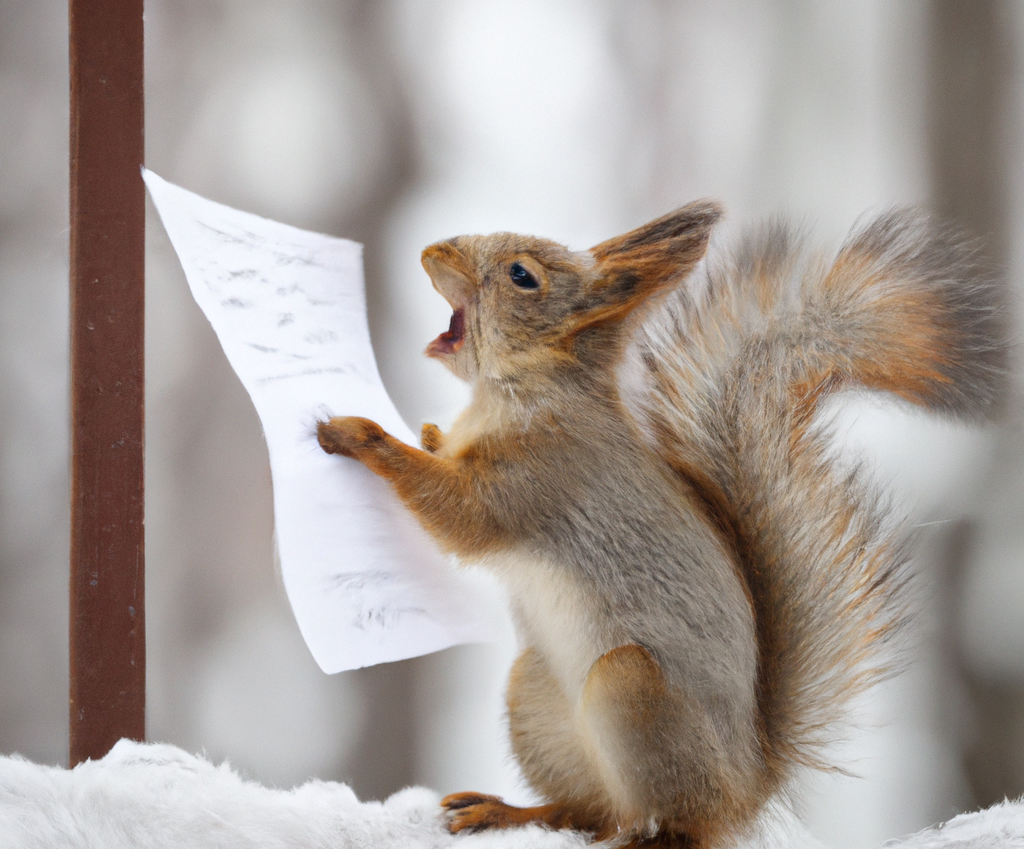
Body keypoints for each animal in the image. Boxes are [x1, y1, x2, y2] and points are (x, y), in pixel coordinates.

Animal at [317, 201, 1003, 848]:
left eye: (522, 276)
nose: (435, 251)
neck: (520, 390)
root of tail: (748, 786)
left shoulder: (541, 478)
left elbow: (458, 514)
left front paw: (366, 437)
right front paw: (431, 435)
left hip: (632, 691)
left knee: (668, 823)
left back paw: (640, 833)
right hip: (535, 692)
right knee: (588, 810)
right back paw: (508, 811)